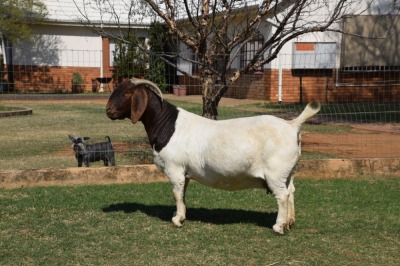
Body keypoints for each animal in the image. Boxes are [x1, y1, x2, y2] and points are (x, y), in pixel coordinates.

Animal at [105, 79, 318, 235]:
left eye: (127, 92)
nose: (108, 110)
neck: (168, 125)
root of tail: (292, 125)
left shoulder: (174, 168)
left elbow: (176, 193)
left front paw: (177, 220)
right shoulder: (185, 172)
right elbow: (182, 193)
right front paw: (180, 214)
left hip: (275, 172)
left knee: (282, 195)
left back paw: (279, 227)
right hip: (289, 171)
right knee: (291, 191)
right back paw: (290, 222)